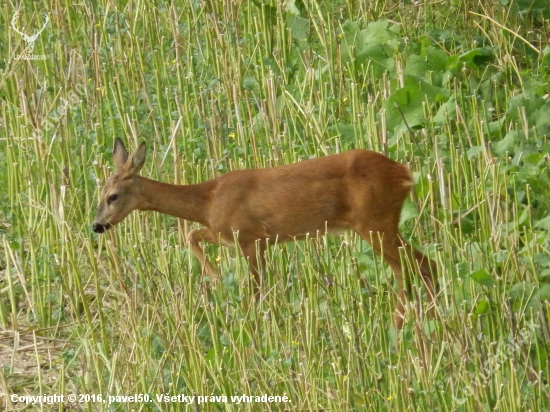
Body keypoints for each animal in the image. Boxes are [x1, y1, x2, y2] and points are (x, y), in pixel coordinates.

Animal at [95, 138, 440, 328]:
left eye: (113, 196)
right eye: (99, 193)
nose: (96, 226)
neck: (209, 199)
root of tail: (405, 173)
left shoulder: (249, 236)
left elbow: (256, 290)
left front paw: (224, 289)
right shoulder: (231, 234)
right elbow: (191, 235)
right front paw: (217, 279)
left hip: (375, 222)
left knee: (421, 265)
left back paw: (407, 325)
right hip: (379, 225)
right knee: (413, 267)